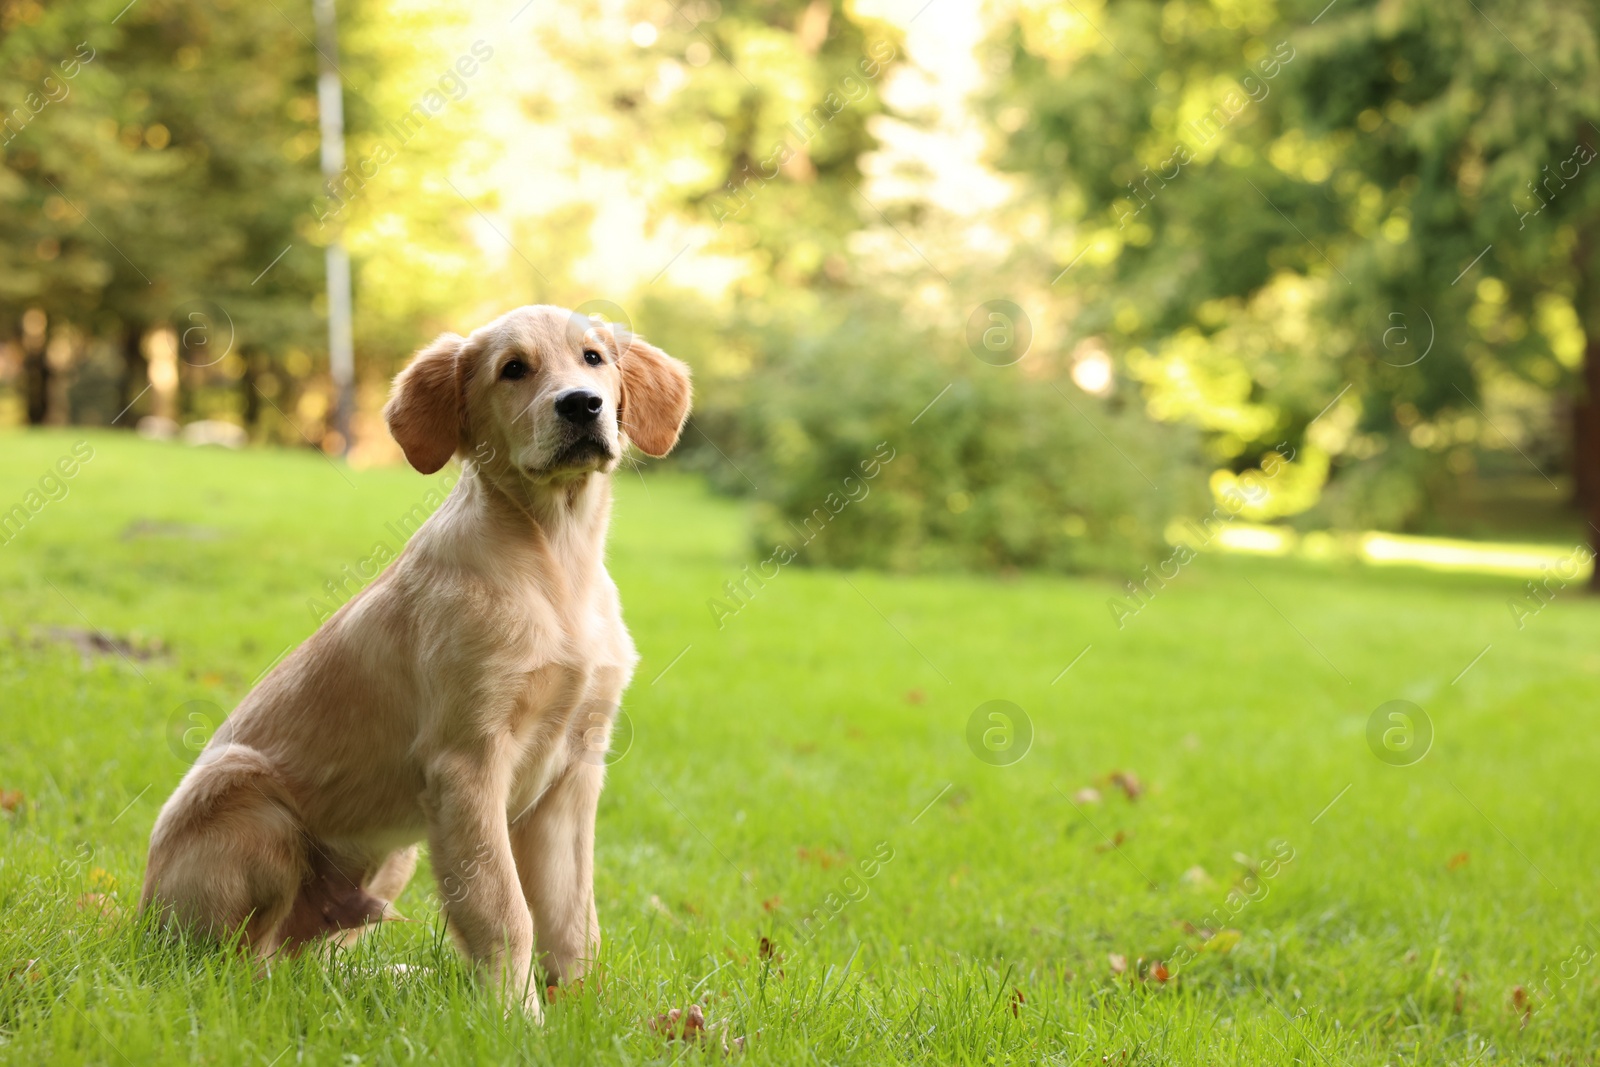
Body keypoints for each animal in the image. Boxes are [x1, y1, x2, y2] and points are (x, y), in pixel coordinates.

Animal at [148, 302, 694, 1017]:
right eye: (512, 369)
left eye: (594, 358)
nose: (582, 404)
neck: (557, 558)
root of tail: (137, 921)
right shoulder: (468, 764)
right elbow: (504, 909)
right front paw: (517, 1020)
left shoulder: (575, 771)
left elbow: (574, 919)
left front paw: (582, 1015)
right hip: (252, 798)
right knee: (232, 963)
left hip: (397, 849)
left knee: (309, 955)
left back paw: (382, 979)